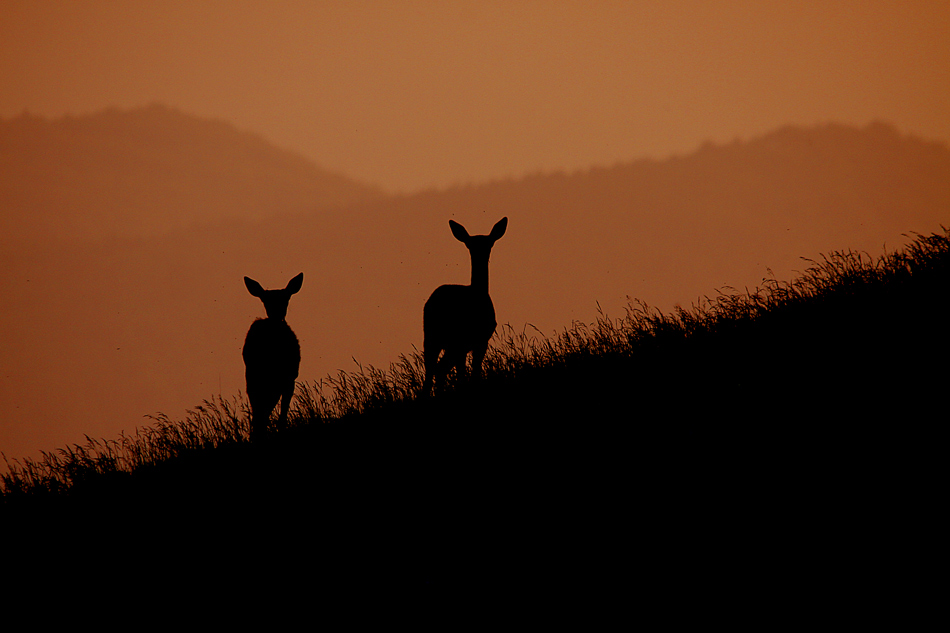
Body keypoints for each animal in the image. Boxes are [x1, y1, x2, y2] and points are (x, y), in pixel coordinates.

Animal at [426, 218, 510, 396]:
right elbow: (473, 372)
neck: (478, 292)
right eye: (470, 245)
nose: (482, 253)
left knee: (433, 369)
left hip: (432, 336)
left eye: (489, 243)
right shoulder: (480, 339)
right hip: (454, 339)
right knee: (443, 369)